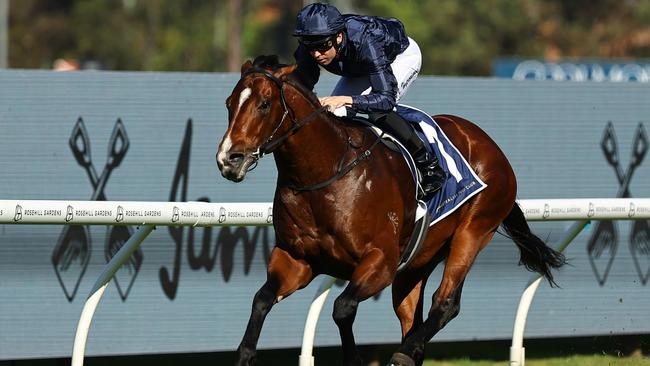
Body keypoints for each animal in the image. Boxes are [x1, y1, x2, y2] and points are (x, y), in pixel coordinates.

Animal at [215, 55, 560, 366]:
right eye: (229, 103)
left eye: (264, 103)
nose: (228, 159)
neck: (325, 172)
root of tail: (487, 143)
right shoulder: (296, 260)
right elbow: (261, 299)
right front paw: (245, 354)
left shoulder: (381, 260)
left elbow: (342, 307)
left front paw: (355, 358)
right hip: (417, 262)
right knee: (411, 316)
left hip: (474, 231)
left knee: (445, 303)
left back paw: (404, 352)